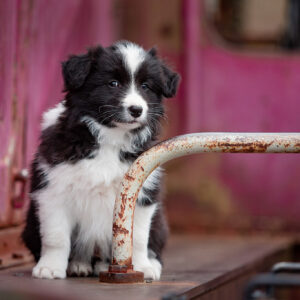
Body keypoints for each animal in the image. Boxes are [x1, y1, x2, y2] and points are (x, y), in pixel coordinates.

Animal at [21, 41, 180, 280]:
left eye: (146, 86)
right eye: (113, 83)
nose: (136, 110)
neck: (110, 138)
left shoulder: (141, 193)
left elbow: (137, 238)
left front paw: (141, 267)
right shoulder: (52, 191)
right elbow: (55, 236)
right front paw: (49, 268)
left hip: (159, 224)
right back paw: (79, 265)